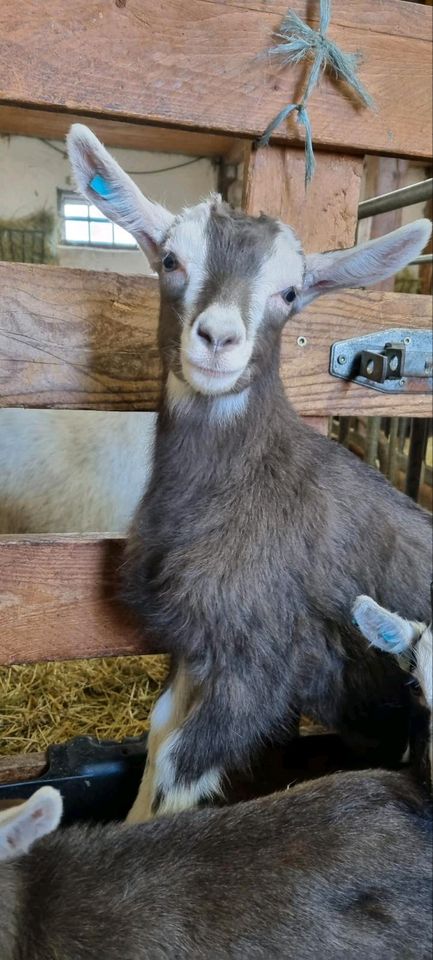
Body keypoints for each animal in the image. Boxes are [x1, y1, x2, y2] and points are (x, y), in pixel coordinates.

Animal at [67, 124, 432, 820]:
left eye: (290, 294)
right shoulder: (197, 644)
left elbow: (180, 769)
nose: (218, 338)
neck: (243, 485)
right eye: (170, 261)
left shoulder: (262, 663)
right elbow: (158, 733)